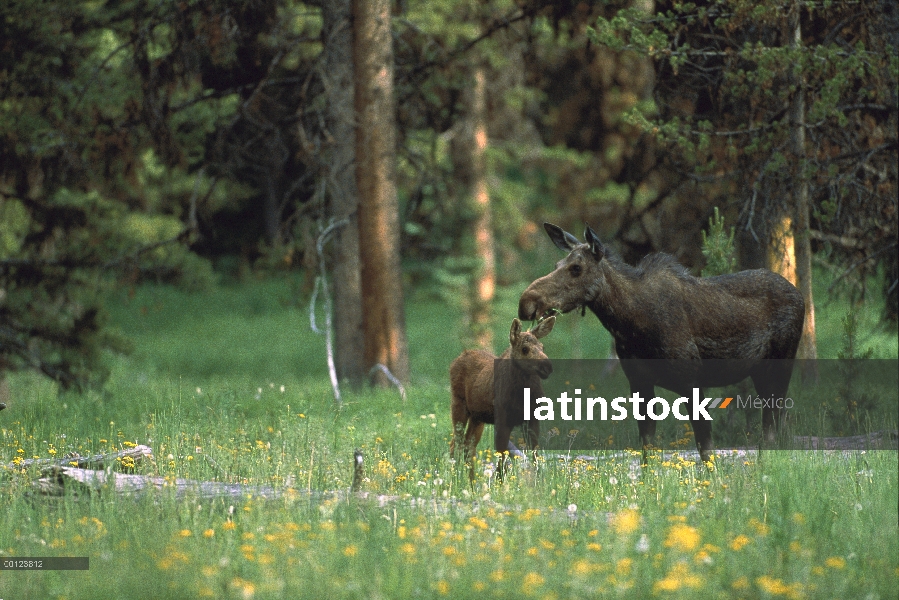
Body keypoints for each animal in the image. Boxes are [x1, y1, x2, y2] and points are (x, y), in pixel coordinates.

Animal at [516, 223, 804, 462]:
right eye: (556, 263)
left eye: (576, 268)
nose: (526, 302)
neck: (630, 323)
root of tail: (799, 293)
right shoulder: (639, 382)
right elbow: (646, 449)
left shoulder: (691, 380)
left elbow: (705, 448)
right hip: (760, 371)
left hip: (781, 363)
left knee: (773, 426)